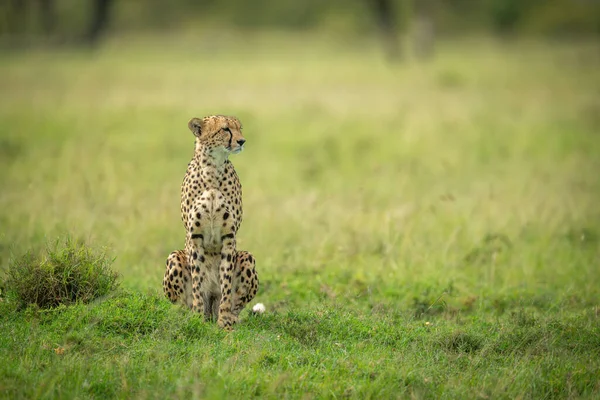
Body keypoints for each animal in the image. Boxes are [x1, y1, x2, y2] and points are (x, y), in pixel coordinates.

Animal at [164, 114, 258, 330]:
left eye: (239, 128)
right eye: (225, 129)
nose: (242, 141)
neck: (213, 168)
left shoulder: (229, 236)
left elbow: (226, 283)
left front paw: (224, 321)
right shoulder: (195, 236)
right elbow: (198, 281)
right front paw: (197, 318)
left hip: (247, 257)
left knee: (235, 303)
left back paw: (230, 317)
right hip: (174, 257)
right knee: (183, 304)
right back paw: (191, 315)